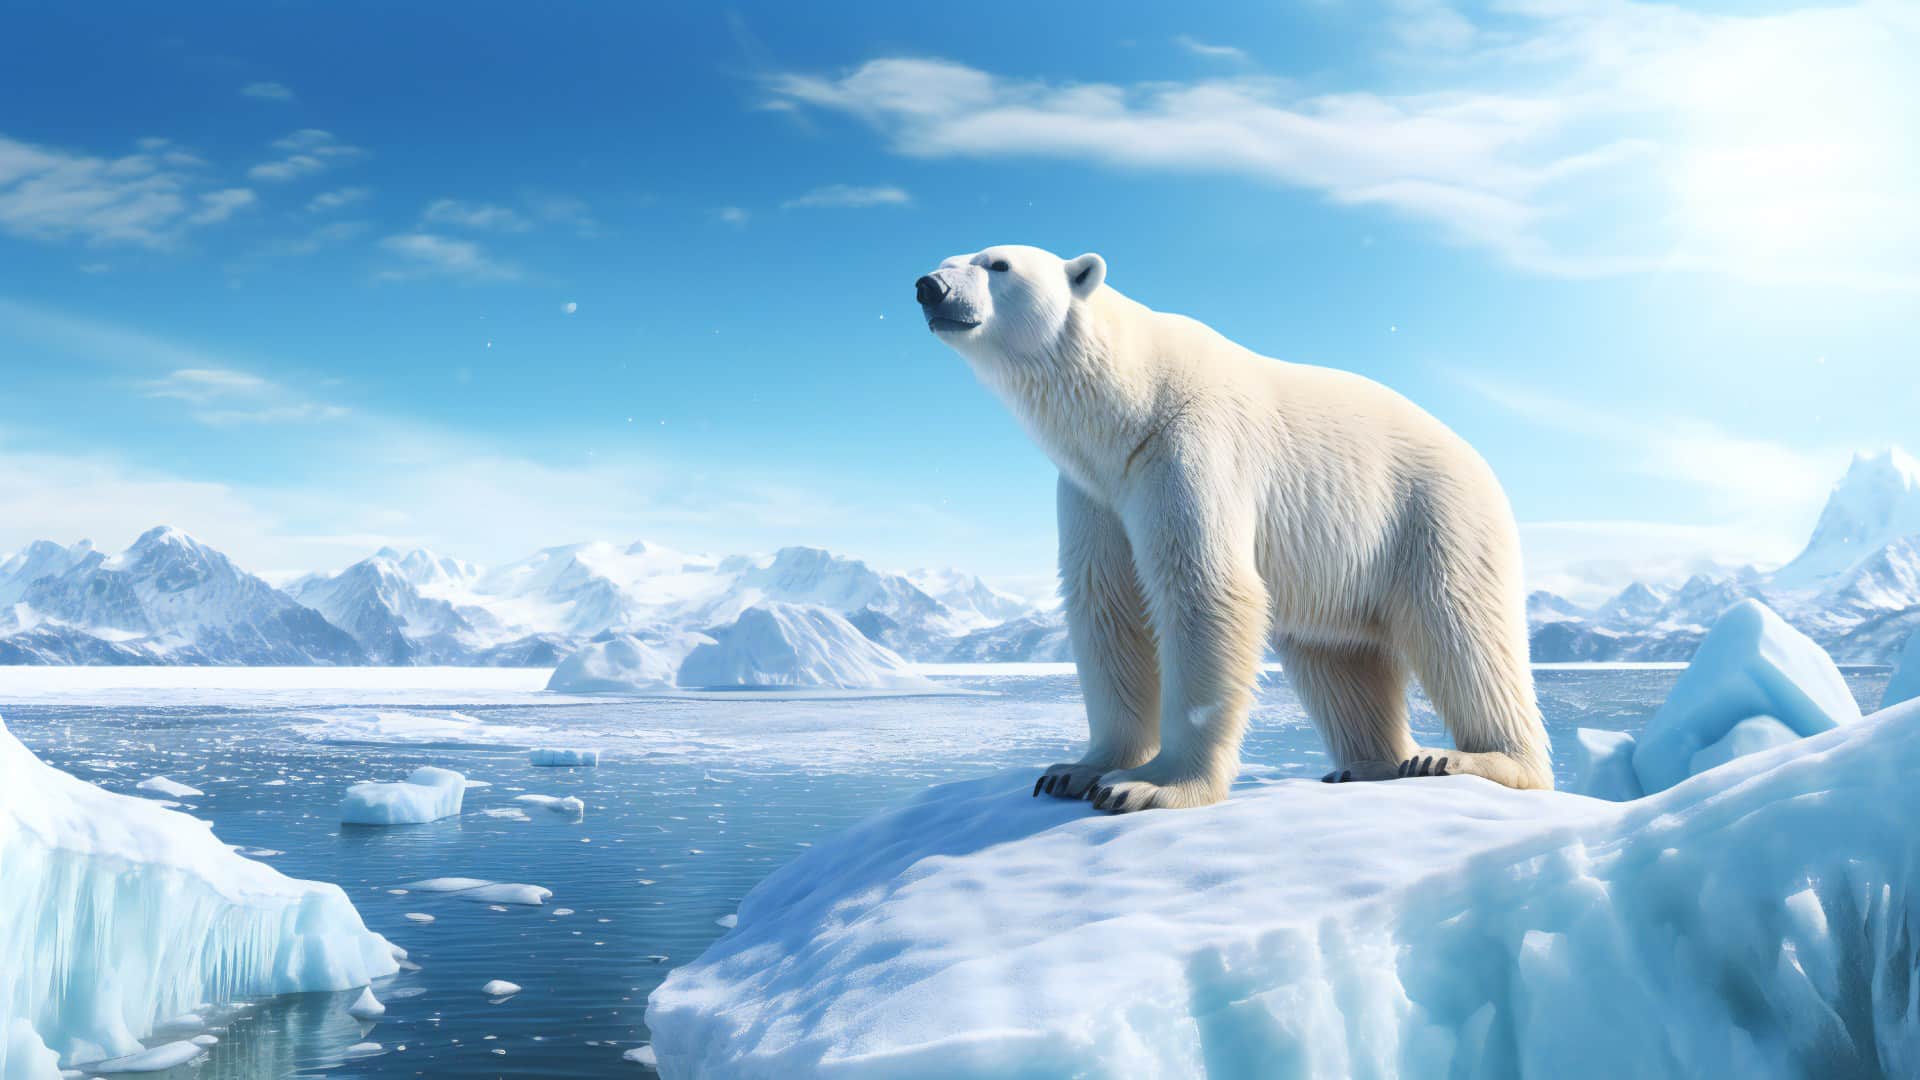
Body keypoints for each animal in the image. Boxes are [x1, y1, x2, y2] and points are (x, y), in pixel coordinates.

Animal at [914, 245, 1553, 812]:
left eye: (999, 265)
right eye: (948, 259)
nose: (929, 286)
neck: (1131, 406)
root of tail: (1481, 463)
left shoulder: (1191, 447)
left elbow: (1205, 589)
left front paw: (1149, 786)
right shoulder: (1094, 490)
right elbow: (1107, 606)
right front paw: (1074, 770)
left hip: (1432, 517)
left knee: (1461, 629)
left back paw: (1469, 759)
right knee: (1338, 658)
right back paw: (1370, 763)